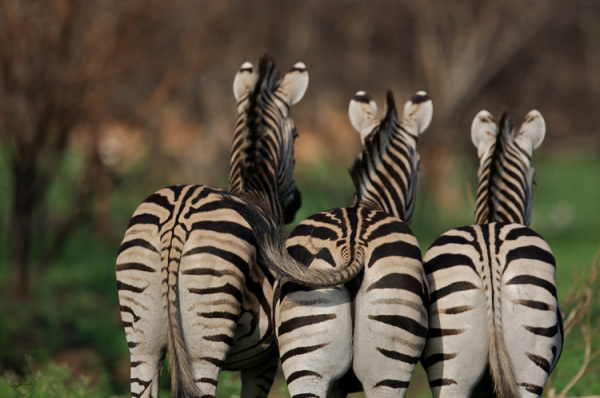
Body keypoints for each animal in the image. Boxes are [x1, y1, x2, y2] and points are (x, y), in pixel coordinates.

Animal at [115, 56, 308, 398]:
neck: (256, 192)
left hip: (142, 338)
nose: (295, 203)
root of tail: (177, 218)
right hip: (204, 341)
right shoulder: (263, 361)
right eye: (296, 135)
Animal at [248, 91, 432, 398]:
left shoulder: (335, 385)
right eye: (418, 164)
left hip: (307, 358)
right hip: (388, 368)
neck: (369, 203)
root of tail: (354, 244)